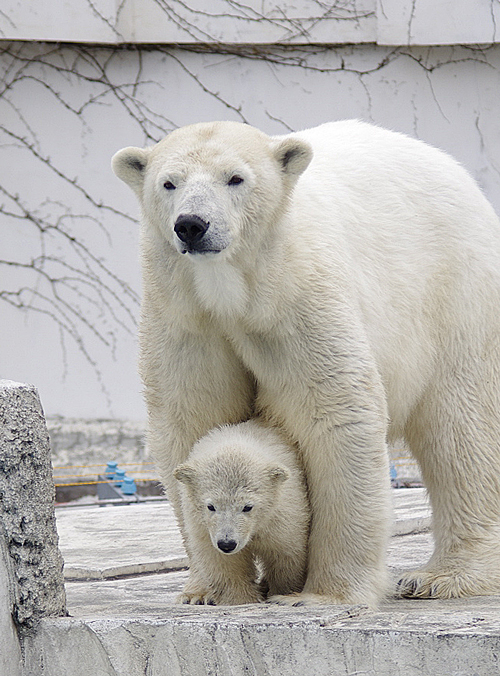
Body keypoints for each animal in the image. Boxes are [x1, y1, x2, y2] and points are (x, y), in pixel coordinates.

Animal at [112, 120, 500, 608]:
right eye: (169, 183)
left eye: (235, 178)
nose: (192, 225)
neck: (232, 290)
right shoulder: (185, 317)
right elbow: (192, 422)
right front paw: (213, 591)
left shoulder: (296, 301)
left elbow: (336, 416)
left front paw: (321, 594)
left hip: (455, 292)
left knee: (461, 429)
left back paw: (442, 576)